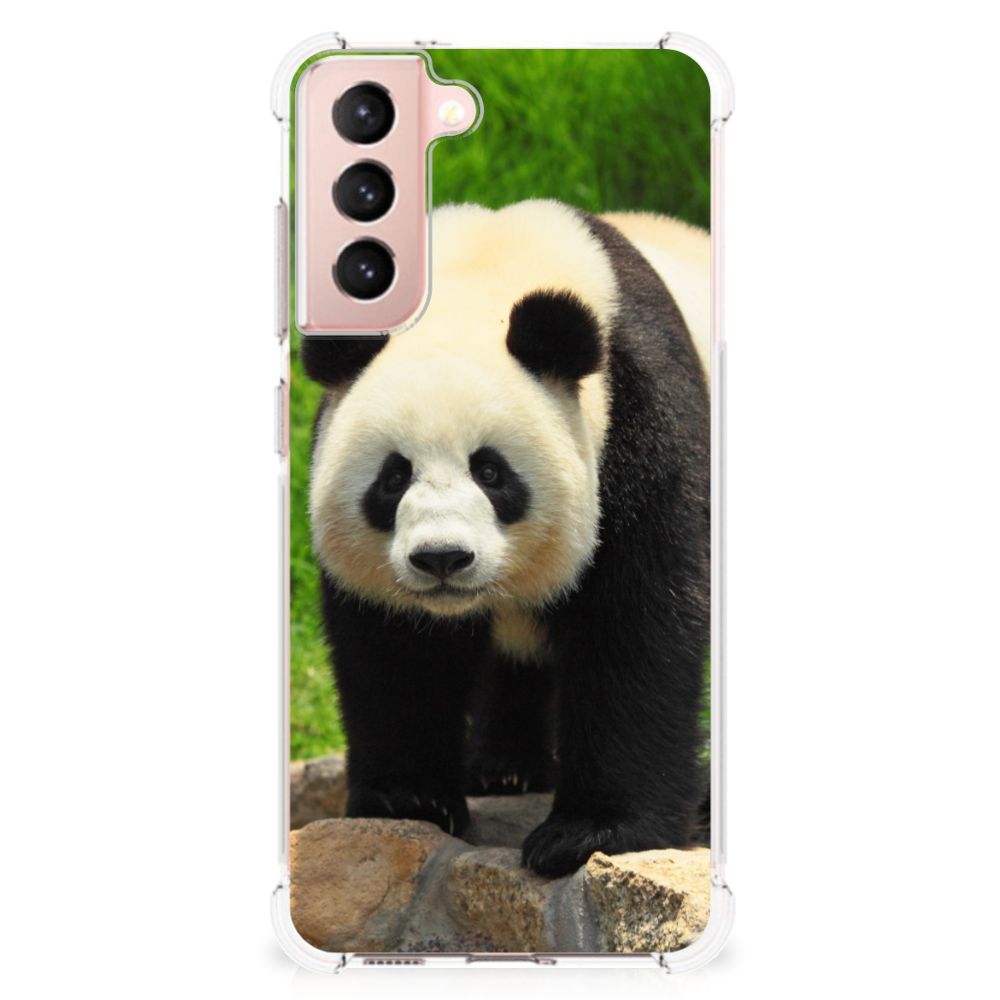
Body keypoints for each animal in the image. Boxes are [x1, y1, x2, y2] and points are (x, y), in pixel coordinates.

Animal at [304, 200, 710, 877]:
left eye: (491, 472)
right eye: (393, 477)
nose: (442, 558)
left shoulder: (641, 421)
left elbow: (639, 623)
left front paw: (589, 833)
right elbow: (396, 649)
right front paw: (408, 799)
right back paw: (505, 768)